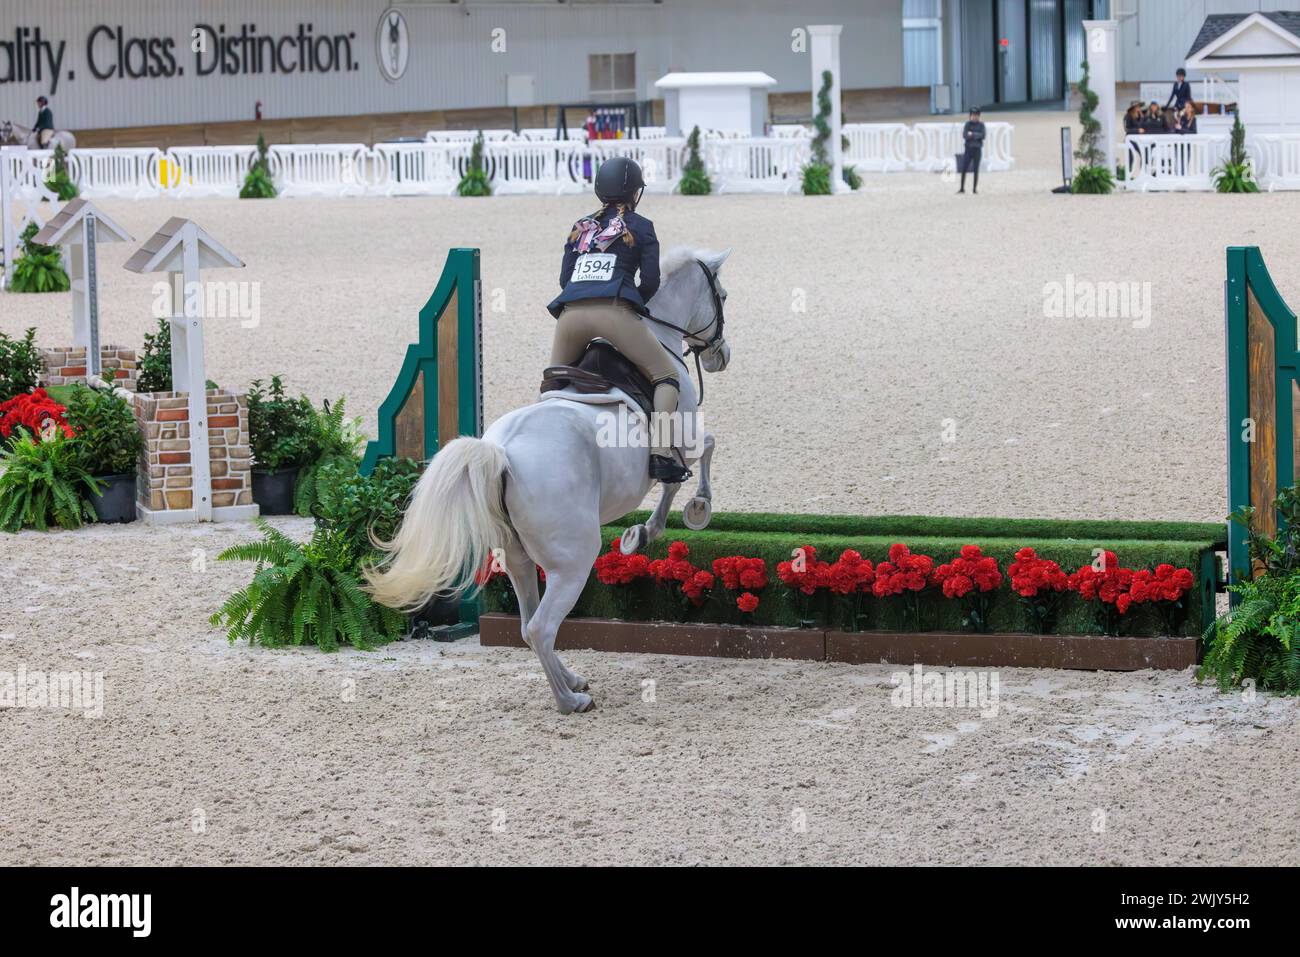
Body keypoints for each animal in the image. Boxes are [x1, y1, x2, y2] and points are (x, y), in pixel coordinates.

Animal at [369, 247, 733, 712]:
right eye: (722, 295)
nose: (721, 356)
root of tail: (502, 454)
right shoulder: (680, 439)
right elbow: (698, 456)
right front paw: (684, 515)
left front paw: (643, 532)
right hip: (572, 561)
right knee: (541, 626)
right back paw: (570, 701)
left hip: (518, 558)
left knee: (528, 626)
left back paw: (572, 680)